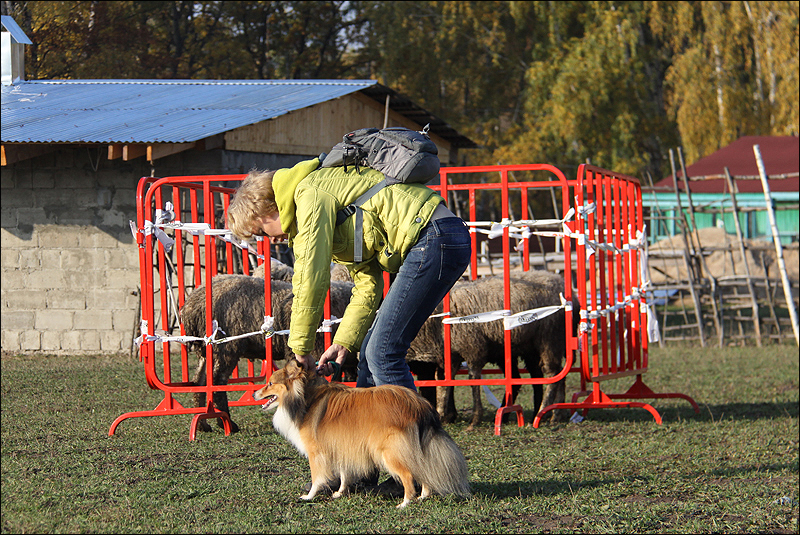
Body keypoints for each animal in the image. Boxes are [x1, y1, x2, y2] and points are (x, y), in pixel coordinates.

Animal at [183, 274, 358, 434]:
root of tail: (192, 305)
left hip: (207, 351)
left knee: (199, 382)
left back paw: (203, 425)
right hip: (226, 347)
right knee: (217, 382)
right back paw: (226, 423)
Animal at [253, 360, 472, 506]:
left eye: (270, 383)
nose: (254, 394)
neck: (305, 397)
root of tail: (420, 405)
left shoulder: (317, 453)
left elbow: (317, 478)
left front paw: (308, 496)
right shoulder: (341, 445)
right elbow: (344, 473)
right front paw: (339, 493)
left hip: (389, 451)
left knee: (409, 475)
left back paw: (405, 502)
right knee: (421, 470)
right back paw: (423, 496)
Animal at [406, 272, 576, 432]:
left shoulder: (473, 348)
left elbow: (472, 381)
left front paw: (474, 419)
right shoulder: (450, 356)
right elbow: (444, 384)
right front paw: (442, 414)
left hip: (549, 339)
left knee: (552, 374)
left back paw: (541, 413)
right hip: (533, 346)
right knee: (552, 374)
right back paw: (555, 414)